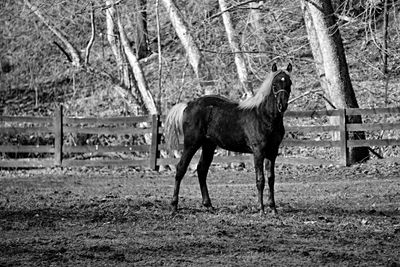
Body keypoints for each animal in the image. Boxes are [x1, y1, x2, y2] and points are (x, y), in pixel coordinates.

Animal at [164, 62, 292, 216]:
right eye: (274, 85)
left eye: (289, 83)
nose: (282, 106)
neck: (264, 116)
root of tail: (188, 105)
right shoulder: (258, 151)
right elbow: (260, 179)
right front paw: (261, 209)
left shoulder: (272, 152)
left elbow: (271, 178)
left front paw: (273, 208)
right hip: (191, 144)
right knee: (181, 168)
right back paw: (174, 206)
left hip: (208, 145)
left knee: (202, 169)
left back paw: (208, 205)